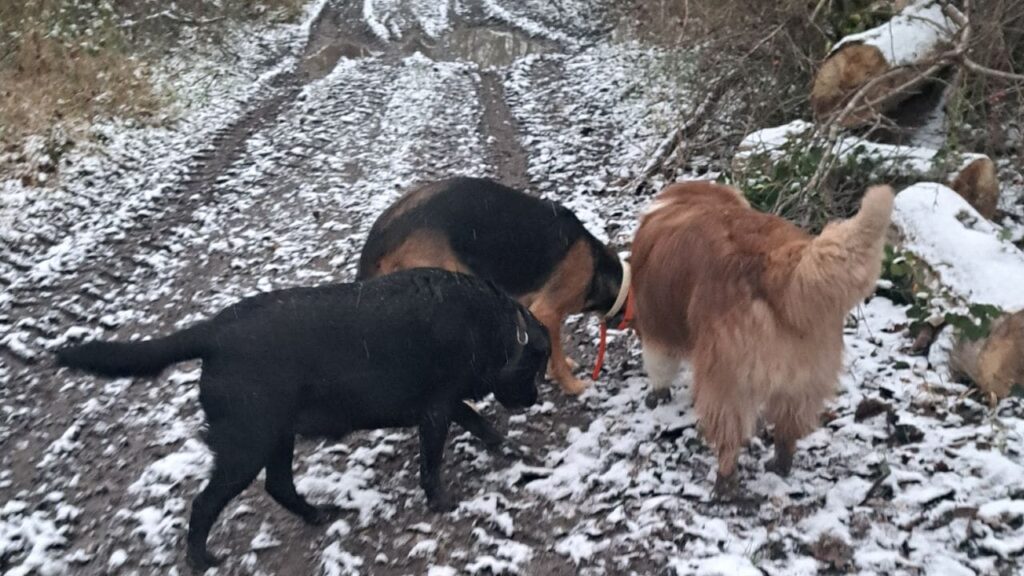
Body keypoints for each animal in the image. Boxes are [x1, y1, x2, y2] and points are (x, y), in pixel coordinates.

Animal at [54, 268, 552, 569]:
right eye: (537, 368)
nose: (532, 400)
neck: (494, 325)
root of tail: (213, 332)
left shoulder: (444, 403)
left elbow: (480, 424)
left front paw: (507, 448)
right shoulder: (435, 409)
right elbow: (433, 463)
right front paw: (442, 502)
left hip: (276, 436)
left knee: (279, 486)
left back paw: (317, 514)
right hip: (247, 445)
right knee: (204, 504)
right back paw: (202, 560)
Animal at [626, 182, 892, 494]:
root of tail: (776, 262)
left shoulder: (657, 333)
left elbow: (659, 368)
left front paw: (656, 396)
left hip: (728, 382)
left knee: (730, 438)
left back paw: (724, 483)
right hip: (804, 379)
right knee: (788, 430)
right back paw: (779, 464)